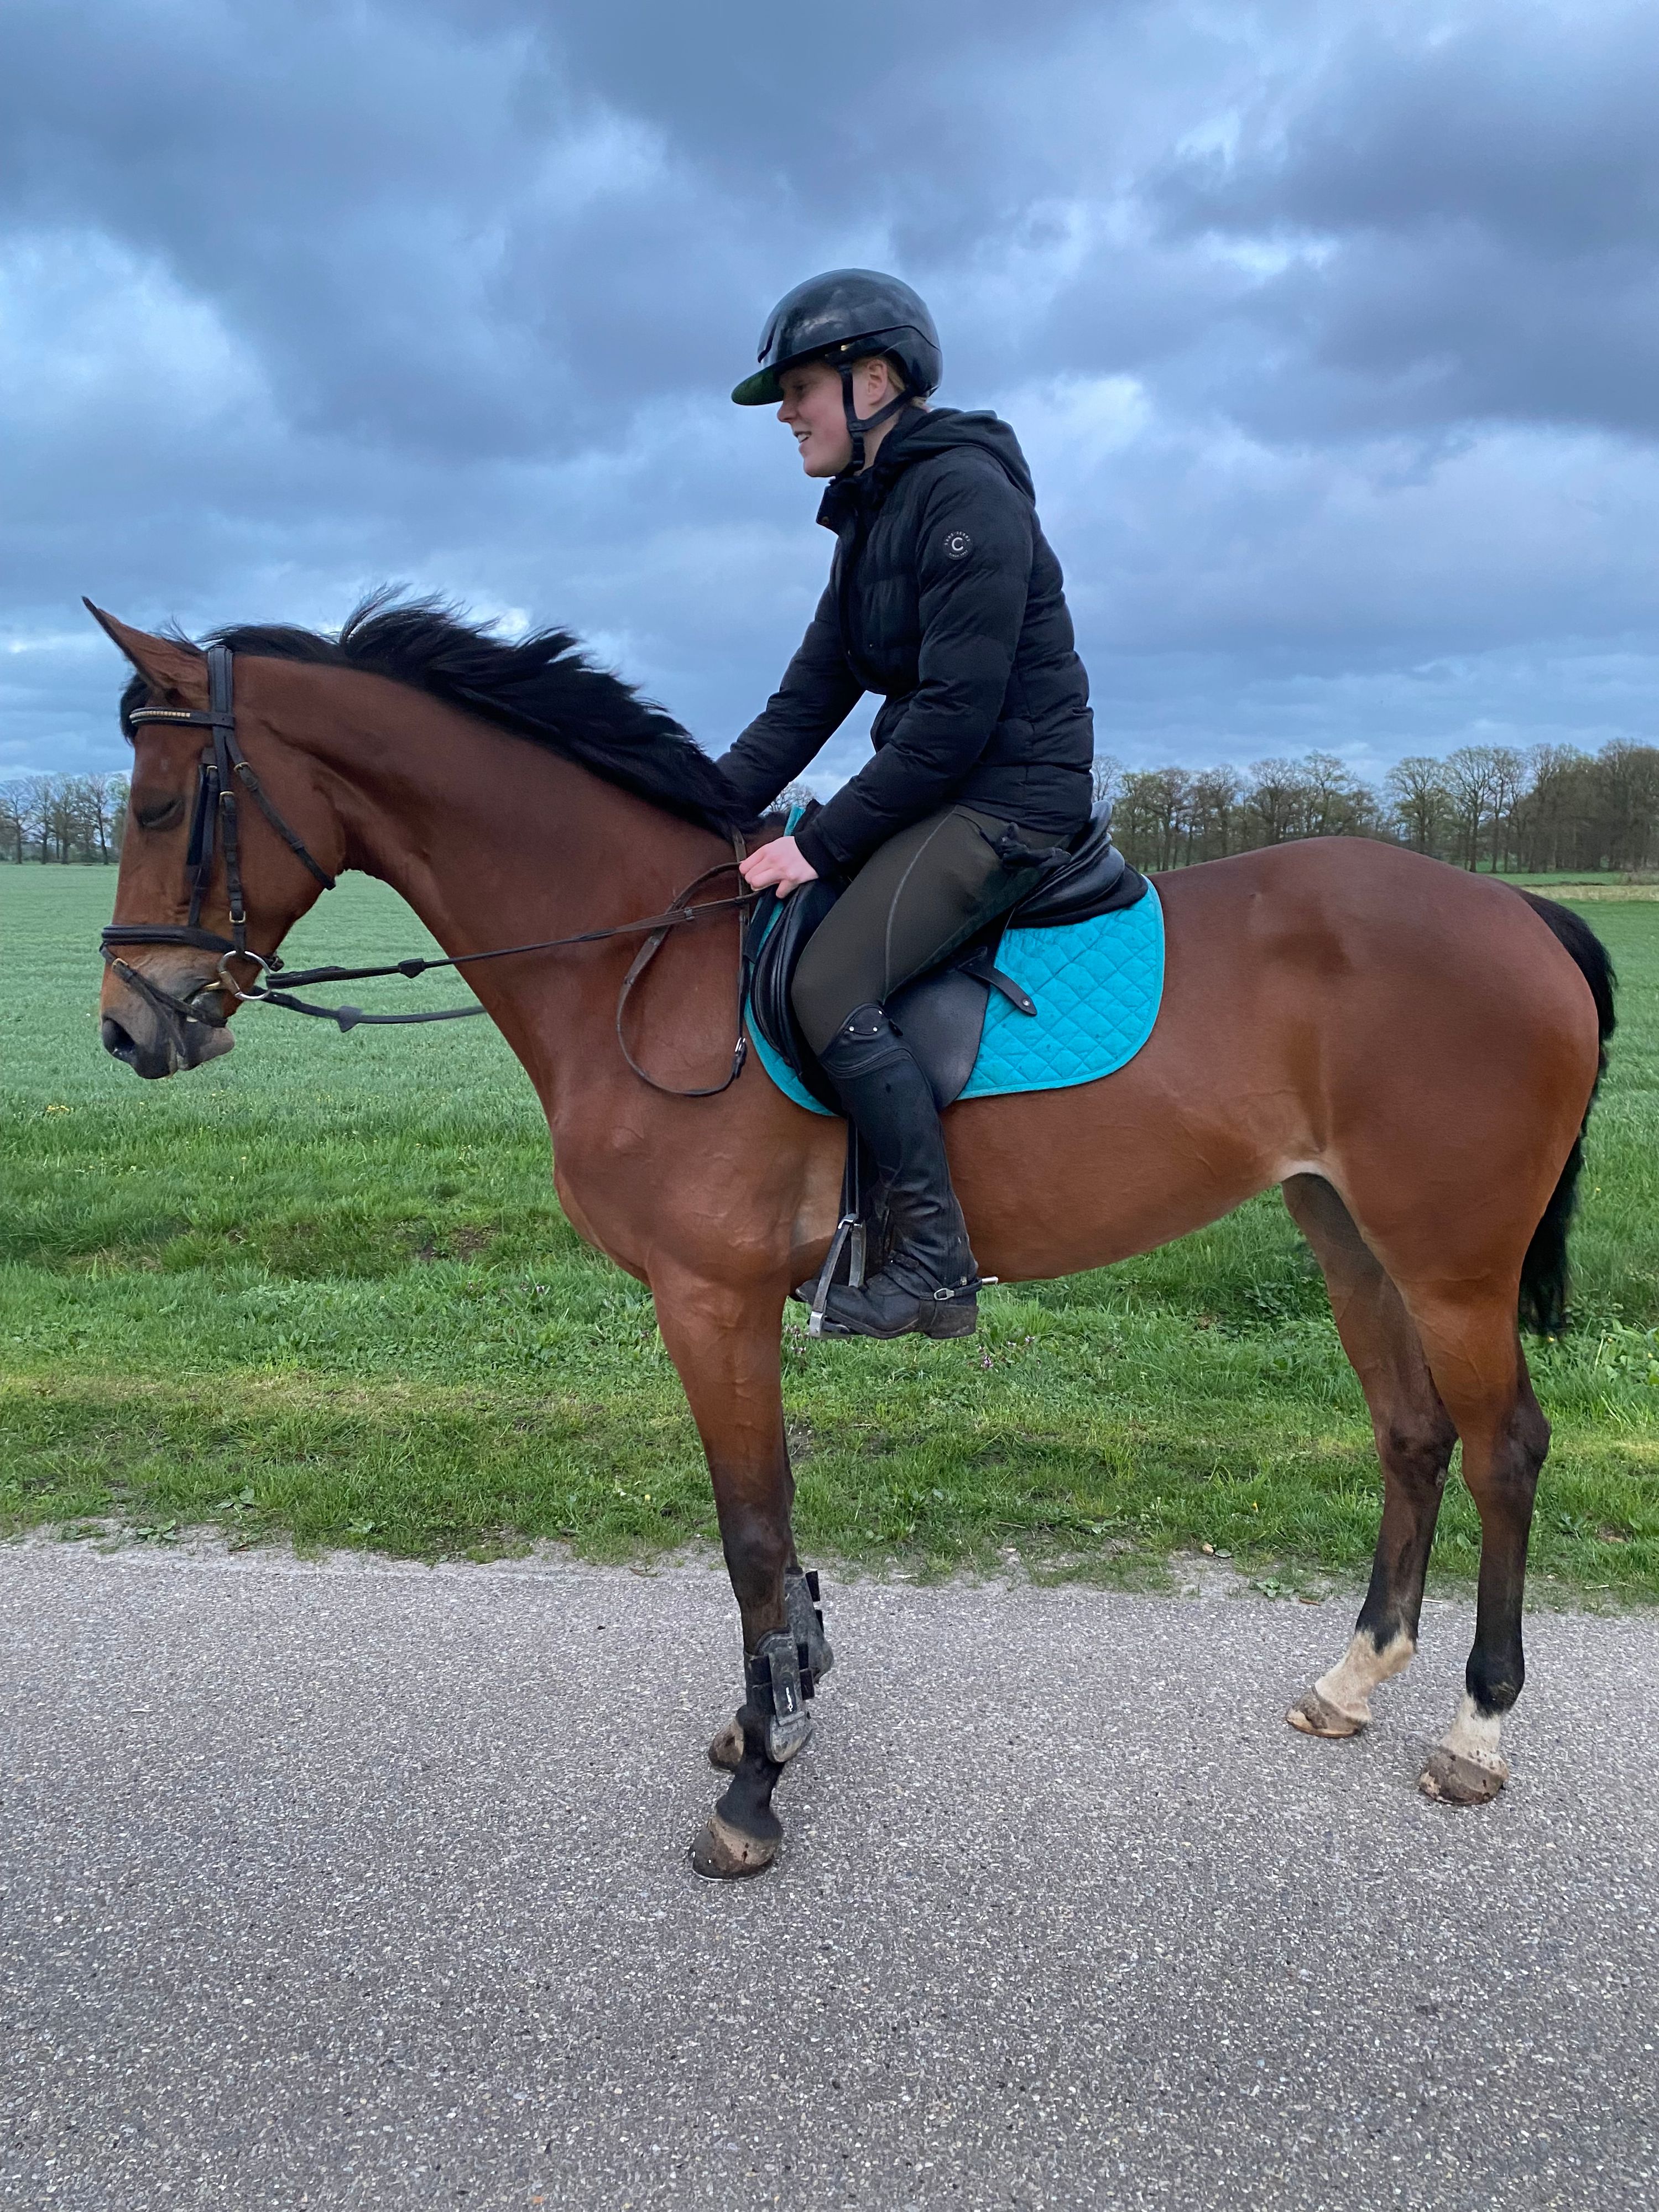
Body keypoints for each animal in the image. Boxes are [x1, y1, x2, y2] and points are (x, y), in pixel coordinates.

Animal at [88, 595, 1614, 1879]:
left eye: (161, 803)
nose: (128, 1026)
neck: (642, 964)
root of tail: (1518, 909)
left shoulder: (710, 1299)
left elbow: (753, 1535)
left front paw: (759, 1780)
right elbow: (769, 1533)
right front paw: (775, 1700)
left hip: (1452, 1258)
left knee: (1503, 1448)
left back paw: (1476, 1731)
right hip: (1346, 1232)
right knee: (1410, 1434)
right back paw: (1351, 1680)